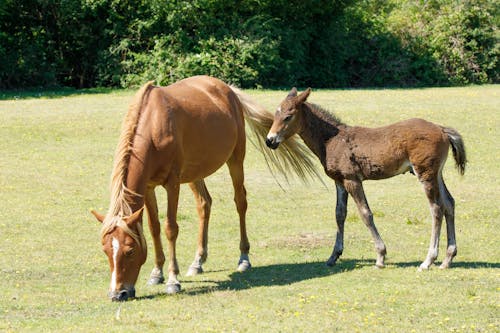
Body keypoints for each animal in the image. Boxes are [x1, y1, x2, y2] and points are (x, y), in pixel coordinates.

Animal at [90, 76, 318, 300]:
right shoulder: (148, 187)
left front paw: (173, 280)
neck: (153, 125)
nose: (118, 294)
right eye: (105, 250)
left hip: (235, 160)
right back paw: (198, 261)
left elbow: (170, 228)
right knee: (204, 204)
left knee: (240, 202)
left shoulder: (172, 183)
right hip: (194, 173)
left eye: (129, 251)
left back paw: (243, 258)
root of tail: (227, 89)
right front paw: (156, 273)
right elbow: (154, 228)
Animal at [268, 87, 466, 270]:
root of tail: (442, 129)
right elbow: (340, 214)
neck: (331, 140)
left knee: (436, 208)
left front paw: (380, 256)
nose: (270, 140)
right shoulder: (339, 181)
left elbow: (366, 214)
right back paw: (447, 259)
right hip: (436, 174)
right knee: (449, 203)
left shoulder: (352, 180)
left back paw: (428, 260)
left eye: (288, 116)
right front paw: (334, 256)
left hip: (425, 173)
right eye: (275, 114)